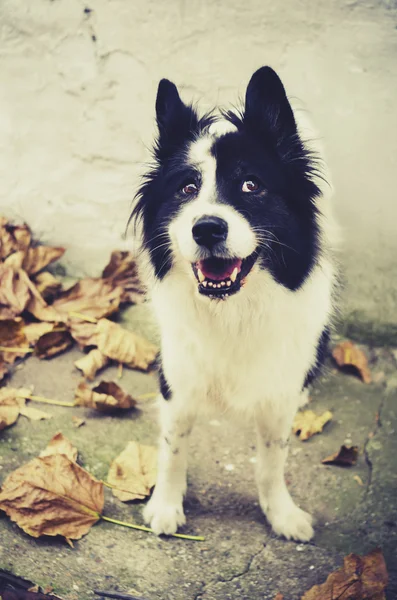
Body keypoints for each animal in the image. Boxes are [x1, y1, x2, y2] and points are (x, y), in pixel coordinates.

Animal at [132, 68, 338, 540]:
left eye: (251, 185)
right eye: (187, 188)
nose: (207, 228)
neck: (232, 311)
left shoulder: (277, 396)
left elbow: (272, 461)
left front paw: (280, 513)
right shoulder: (178, 383)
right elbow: (172, 449)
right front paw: (165, 505)